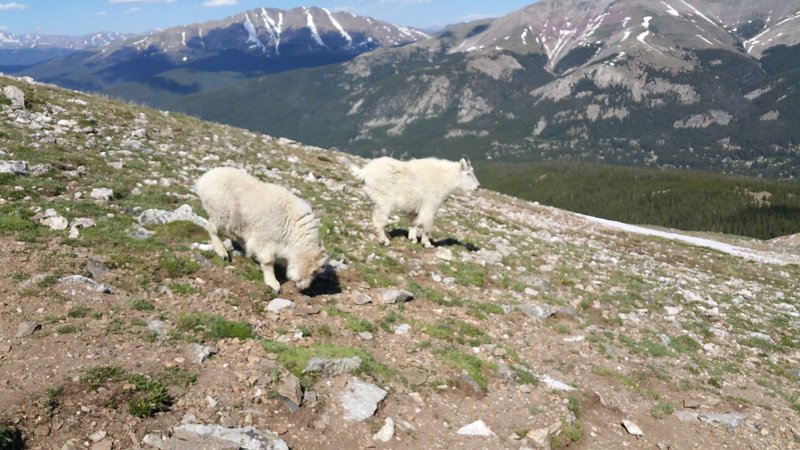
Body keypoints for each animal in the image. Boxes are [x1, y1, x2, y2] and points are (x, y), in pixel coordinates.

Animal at [195, 167, 326, 294]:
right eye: (314, 271)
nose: (304, 288)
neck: (292, 227)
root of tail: (202, 181)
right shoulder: (266, 239)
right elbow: (268, 262)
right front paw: (274, 284)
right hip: (221, 213)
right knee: (213, 229)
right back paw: (222, 252)